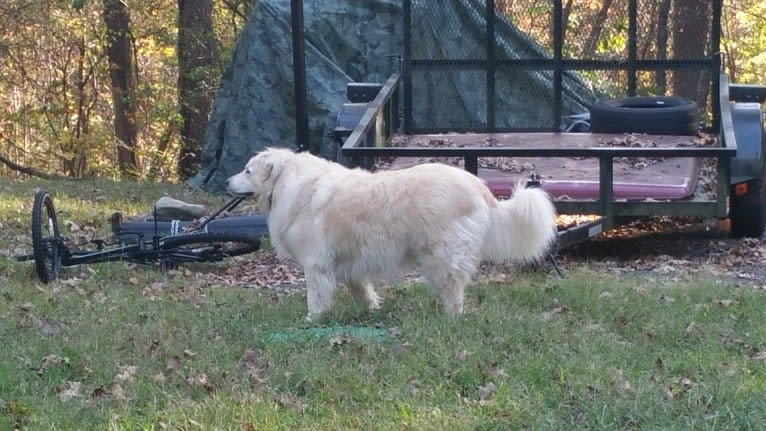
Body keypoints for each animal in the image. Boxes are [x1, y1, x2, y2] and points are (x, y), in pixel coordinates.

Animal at [228, 149, 560, 320]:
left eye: (247, 170)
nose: (227, 182)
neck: (288, 183)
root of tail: (479, 187)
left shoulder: (315, 264)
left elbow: (316, 298)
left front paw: (312, 321)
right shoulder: (349, 264)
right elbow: (361, 290)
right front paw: (372, 309)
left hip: (441, 256)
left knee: (454, 290)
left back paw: (452, 318)